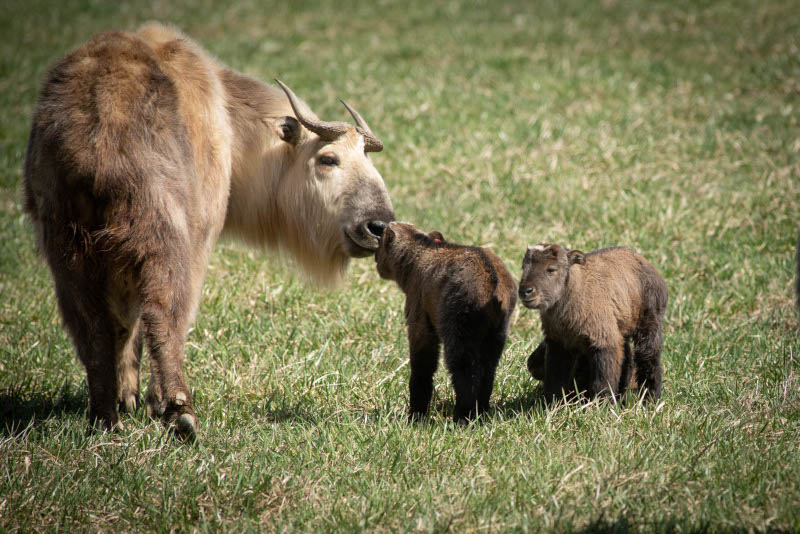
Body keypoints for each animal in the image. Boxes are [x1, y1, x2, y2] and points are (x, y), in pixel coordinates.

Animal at [376, 223, 520, 422]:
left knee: (465, 373)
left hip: (459, 330)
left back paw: (461, 417)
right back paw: (481, 412)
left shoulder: (420, 320)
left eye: (380, 240)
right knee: (488, 370)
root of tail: (493, 284)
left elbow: (422, 369)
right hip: (496, 334)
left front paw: (416, 416)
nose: (375, 258)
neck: (420, 251)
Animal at [516, 245, 664, 404]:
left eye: (551, 269)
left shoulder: (603, 339)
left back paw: (650, 398)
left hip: (649, 322)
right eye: (523, 267)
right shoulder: (558, 342)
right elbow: (555, 379)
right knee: (627, 358)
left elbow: (603, 380)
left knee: (649, 358)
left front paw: (600, 404)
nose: (525, 291)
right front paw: (554, 403)